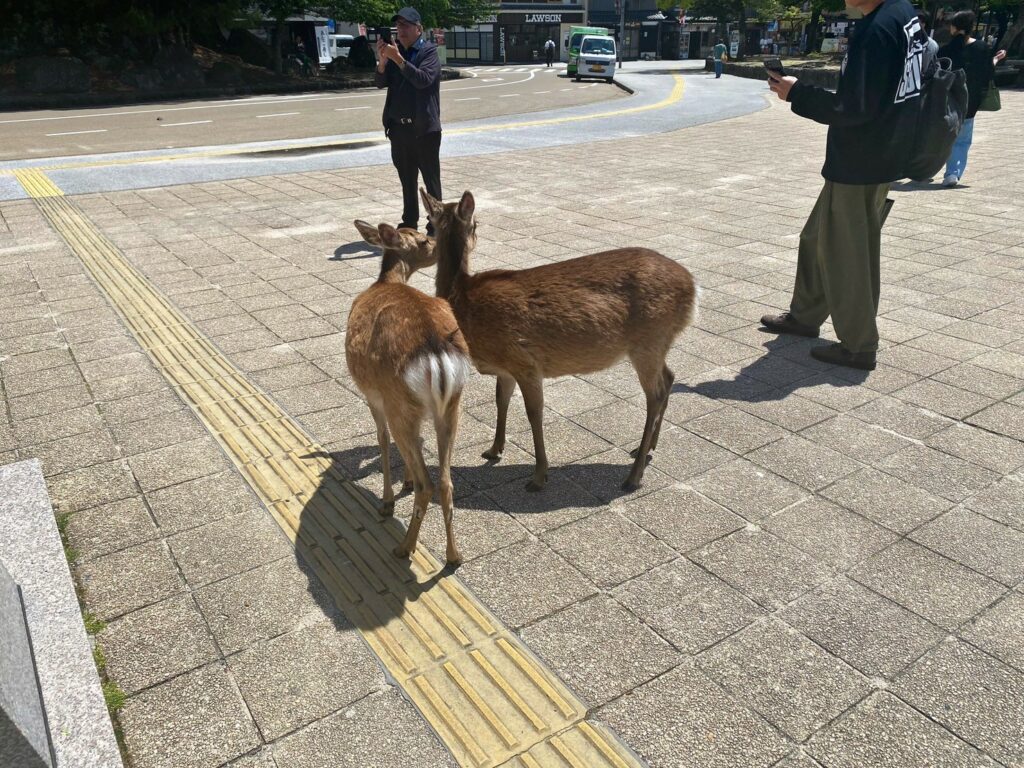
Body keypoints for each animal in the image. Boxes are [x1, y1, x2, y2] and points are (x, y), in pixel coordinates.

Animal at [344, 219, 471, 569]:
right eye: (425, 239)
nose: (443, 246)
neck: (384, 282)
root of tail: (435, 351)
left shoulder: (372, 395)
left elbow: (381, 440)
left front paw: (388, 500)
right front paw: (406, 481)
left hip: (399, 402)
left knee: (428, 483)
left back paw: (405, 547)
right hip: (453, 406)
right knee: (446, 481)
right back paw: (454, 555)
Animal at [419, 189, 700, 495]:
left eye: (476, 224)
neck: (463, 303)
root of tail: (693, 288)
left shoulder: (524, 361)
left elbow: (534, 413)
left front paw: (539, 476)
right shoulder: (505, 368)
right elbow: (500, 401)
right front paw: (494, 450)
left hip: (649, 340)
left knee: (656, 393)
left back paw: (633, 475)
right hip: (658, 343)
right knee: (669, 377)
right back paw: (647, 448)